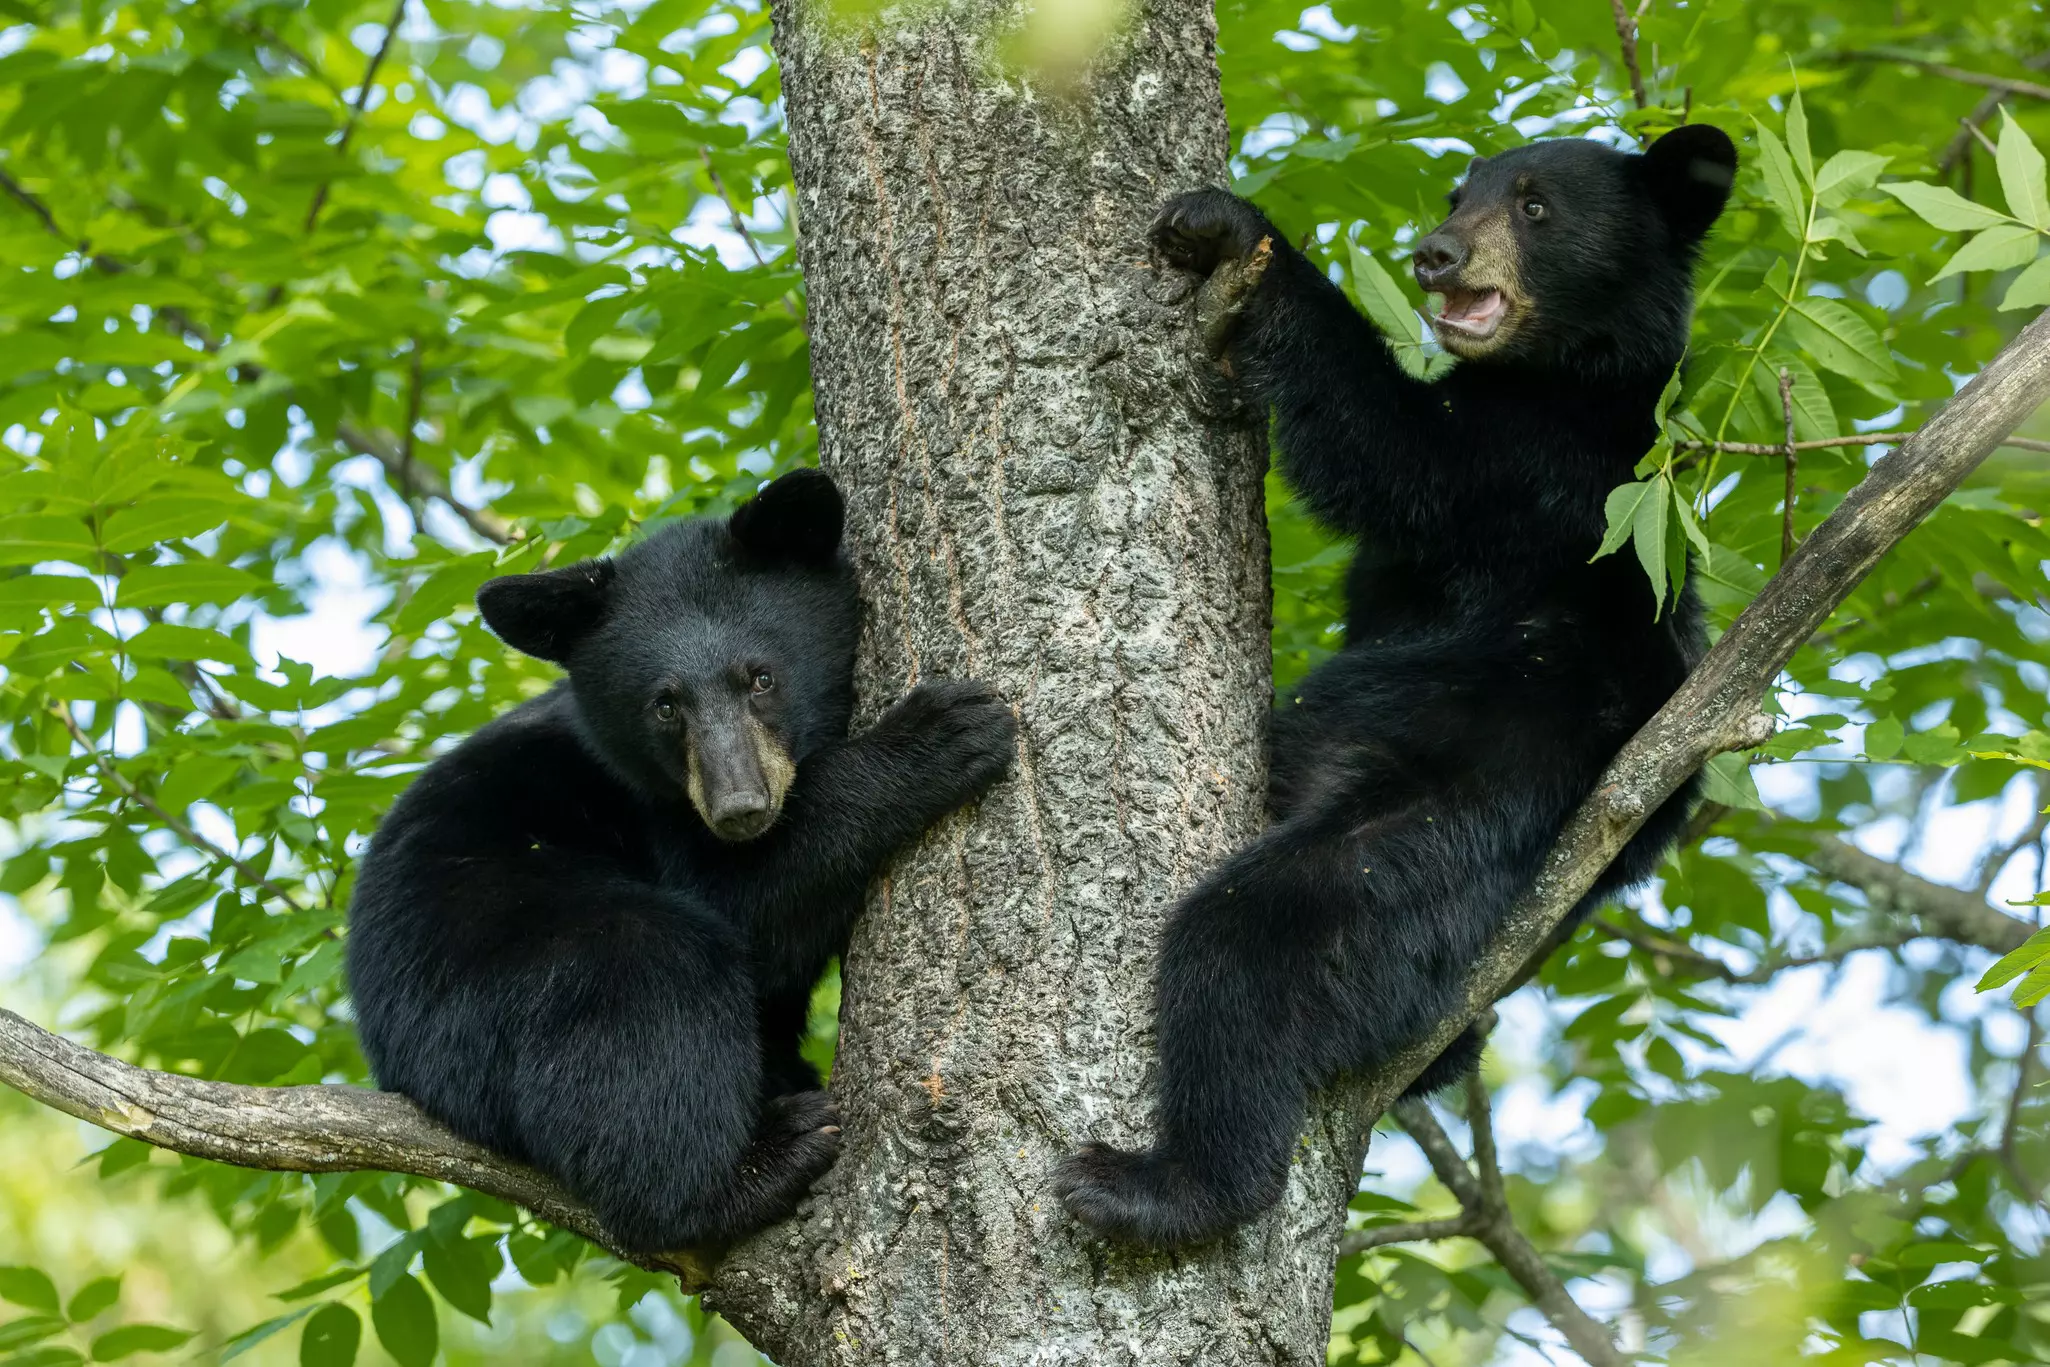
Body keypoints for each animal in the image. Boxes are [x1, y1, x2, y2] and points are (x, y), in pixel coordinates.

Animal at [345, 468, 1018, 1253]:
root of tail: (387, 1054)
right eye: (665, 705)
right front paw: (939, 733)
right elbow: (751, 905)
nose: (740, 807)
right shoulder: (654, 822)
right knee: (651, 979)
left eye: (761, 677)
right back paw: (753, 1164)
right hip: (480, 961)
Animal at [1053, 125, 1738, 1245]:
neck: (1569, 373)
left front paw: (1233, 229)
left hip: (1428, 830)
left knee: (1249, 939)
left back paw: (1165, 1182)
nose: (1436, 254)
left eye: (1535, 205)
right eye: (1461, 192)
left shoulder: (1553, 471)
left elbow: (1394, 452)